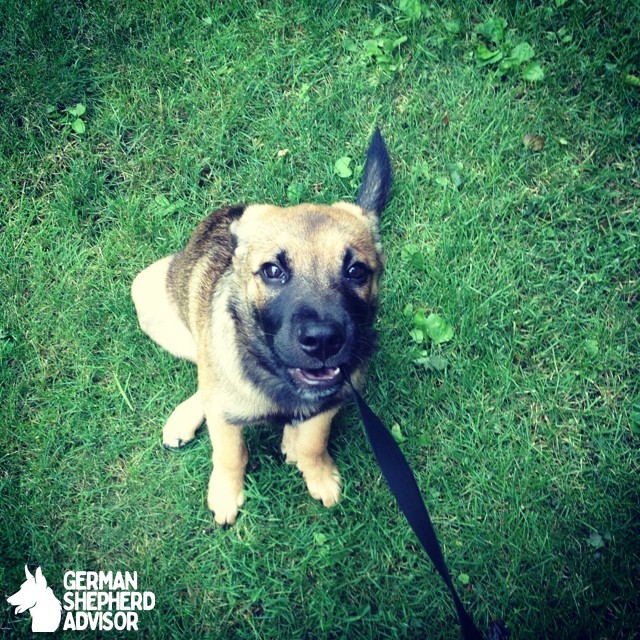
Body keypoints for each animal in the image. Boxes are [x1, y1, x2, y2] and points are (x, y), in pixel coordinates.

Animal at [132, 130, 392, 524]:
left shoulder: (335, 396)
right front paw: (226, 493)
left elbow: (315, 440)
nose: (322, 341)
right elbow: (230, 453)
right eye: (272, 270)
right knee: (203, 371)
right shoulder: (227, 417)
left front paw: (317, 472)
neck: (278, 379)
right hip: (150, 298)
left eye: (356, 271)